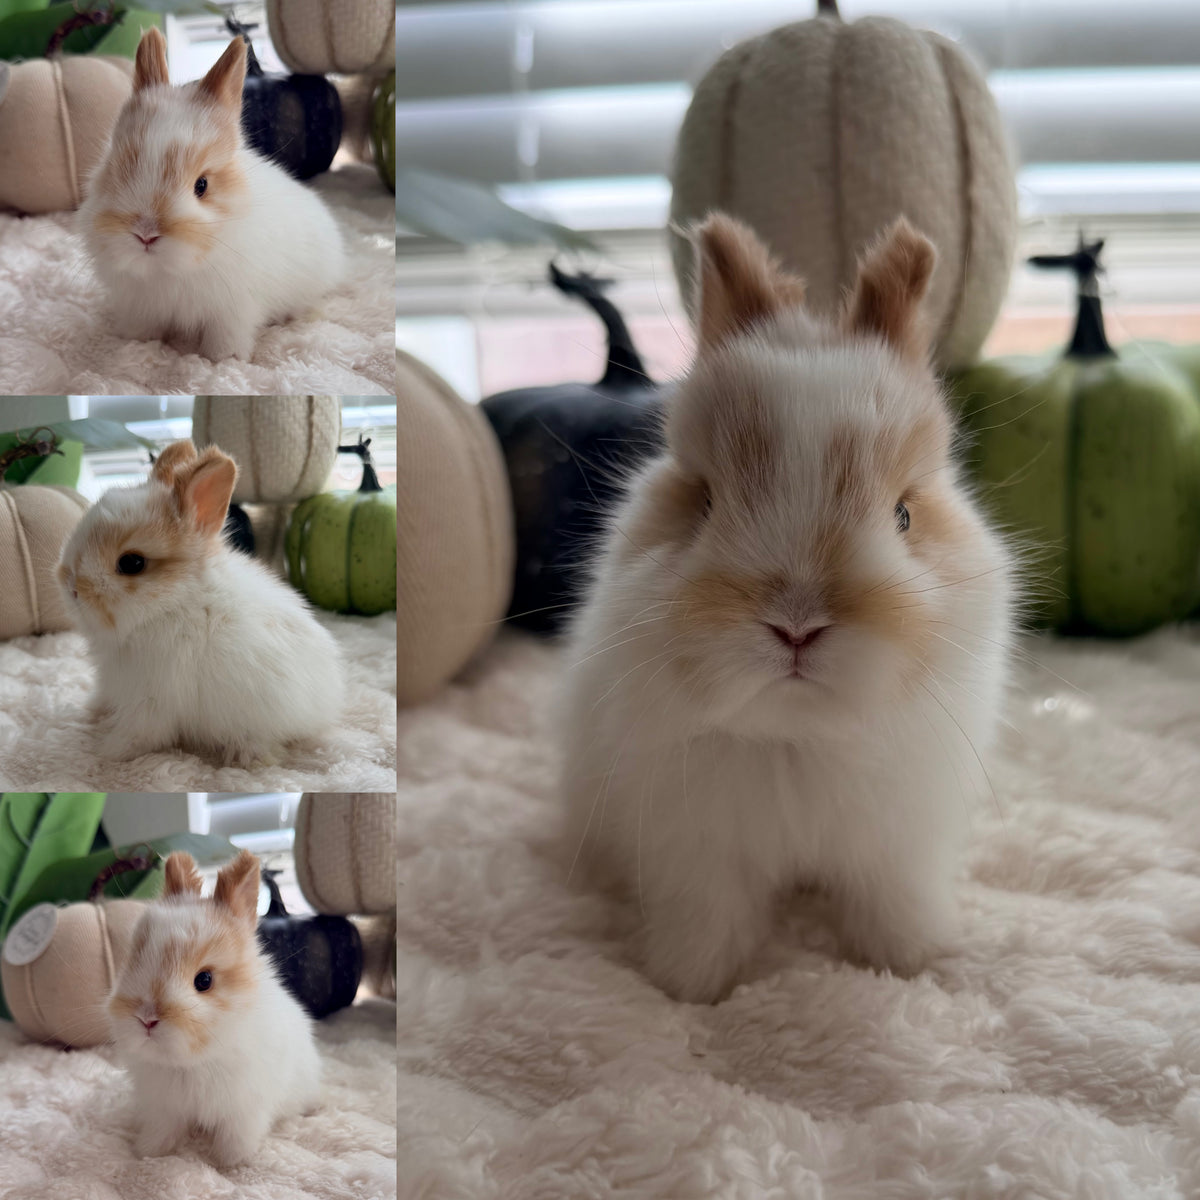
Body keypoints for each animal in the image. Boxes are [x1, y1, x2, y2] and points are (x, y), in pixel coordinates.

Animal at [57, 438, 345, 766]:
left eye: (131, 563)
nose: (71, 586)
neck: (171, 603)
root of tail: (327, 705)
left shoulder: (151, 698)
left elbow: (139, 734)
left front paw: (107, 751)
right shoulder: (116, 684)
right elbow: (105, 700)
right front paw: (92, 712)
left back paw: (244, 756)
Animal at [77, 27, 345, 362]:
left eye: (201, 185)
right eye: (115, 168)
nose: (145, 234)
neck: (168, 271)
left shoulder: (233, 311)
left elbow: (226, 339)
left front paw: (222, 360)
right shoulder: (141, 305)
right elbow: (144, 329)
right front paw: (136, 344)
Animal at [108, 850, 321, 1166]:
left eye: (204, 980)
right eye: (134, 959)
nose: (146, 1019)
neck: (191, 1063)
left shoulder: (244, 1110)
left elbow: (235, 1138)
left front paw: (231, 1163)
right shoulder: (164, 1109)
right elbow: (163, 1131)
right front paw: (149, 1152)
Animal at [559, 214, 1015, 1004]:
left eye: (903, 514)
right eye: (704, 502)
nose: (796, 625)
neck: (796, 738)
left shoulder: (899, 850)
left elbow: (893, 907)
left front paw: (910, 963)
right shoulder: (696, 856)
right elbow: (708, 923)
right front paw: (691, 988)